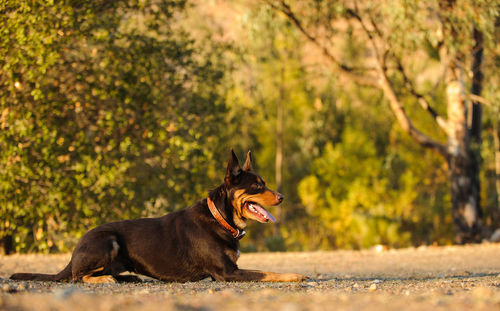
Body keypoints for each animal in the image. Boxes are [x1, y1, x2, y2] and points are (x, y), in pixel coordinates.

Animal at [10, 150, 304, 284]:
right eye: (257, 186)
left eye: (264, 183)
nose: (282, 197)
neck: (219, 217)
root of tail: (74, 253)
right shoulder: (227, 273)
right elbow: (268, 272)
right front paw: (295, 275)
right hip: (107, 241)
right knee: (77, 277)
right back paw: (105, 279)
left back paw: (127, 278)